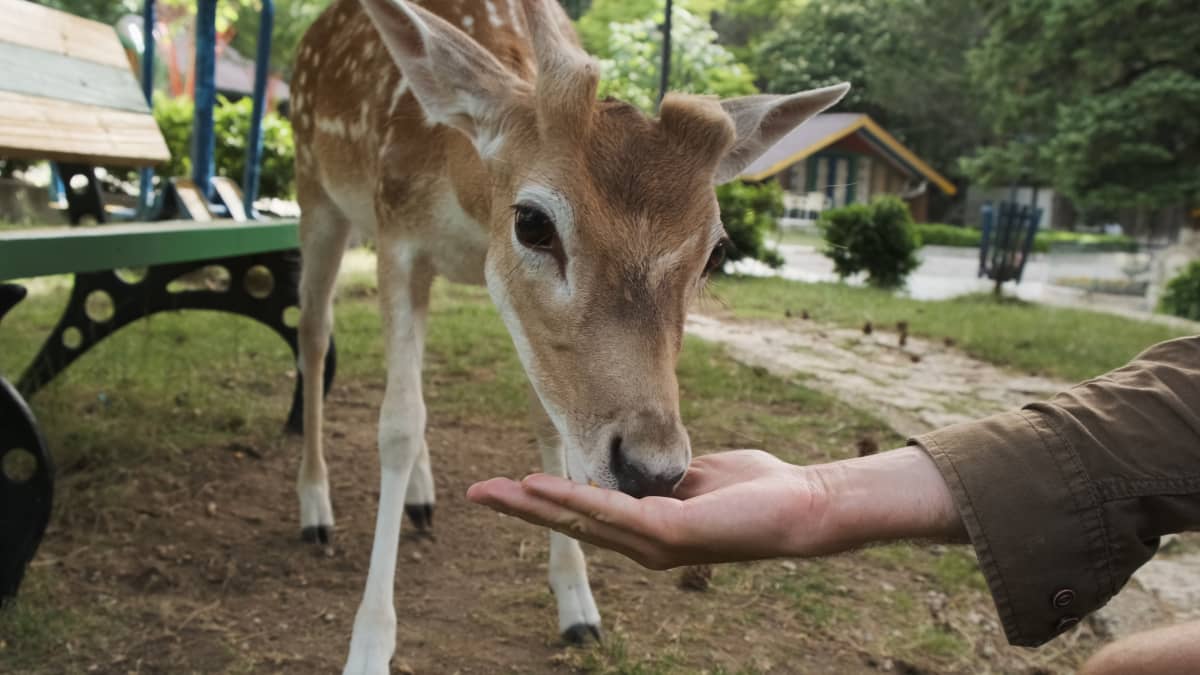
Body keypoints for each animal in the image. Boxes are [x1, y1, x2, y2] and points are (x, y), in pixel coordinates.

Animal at [288, 0, 854, 667]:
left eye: (716, 251)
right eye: (533, 221)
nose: (652, 471)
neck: (463, 194)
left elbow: (547, 423)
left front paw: (578, 607)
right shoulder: (396, 235)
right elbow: (397, 424)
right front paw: (369, 647)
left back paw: (421, 502)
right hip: (315, 191)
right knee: (315, 334)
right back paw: (315, 509)